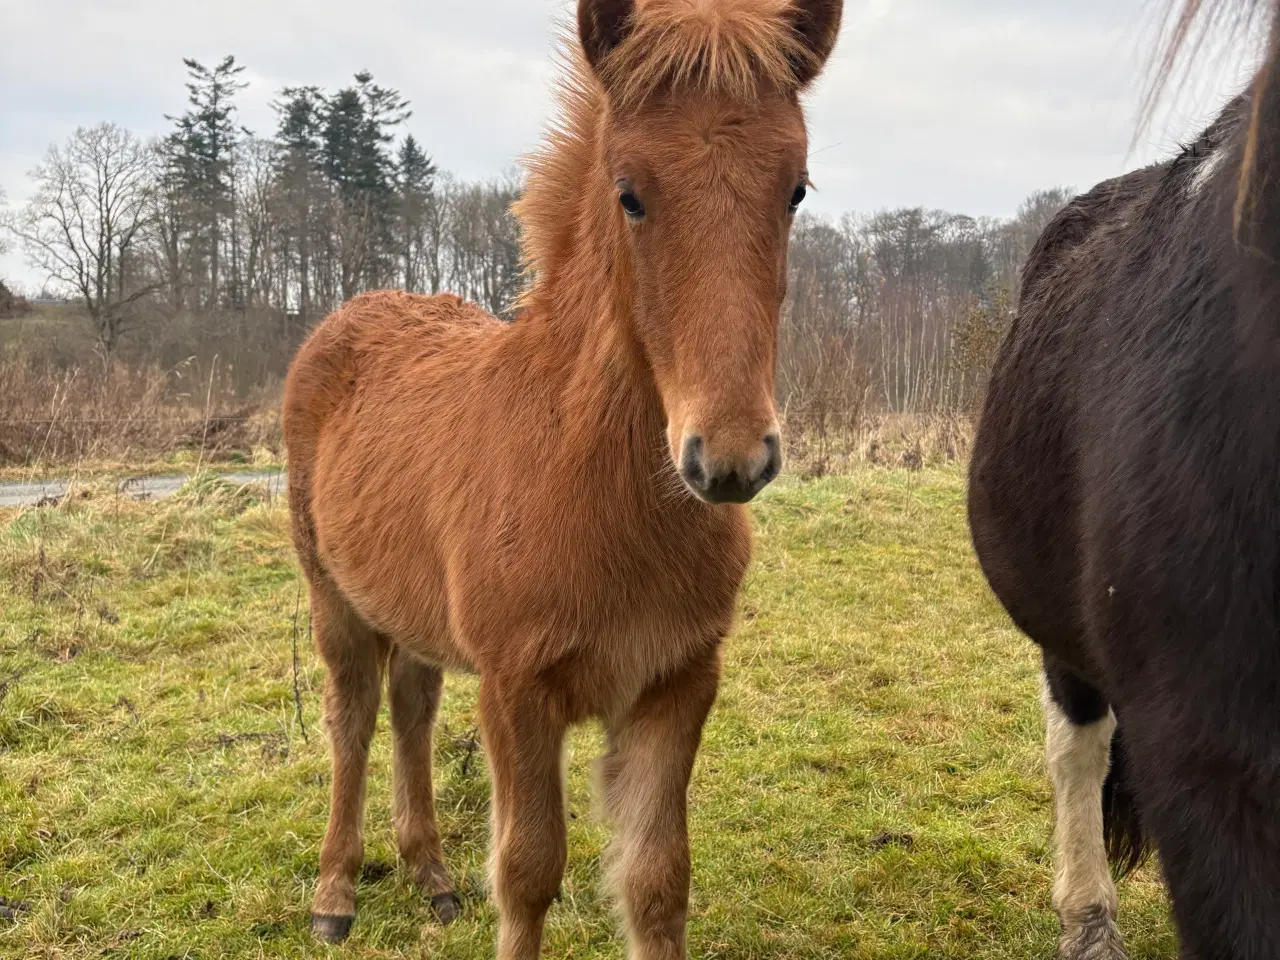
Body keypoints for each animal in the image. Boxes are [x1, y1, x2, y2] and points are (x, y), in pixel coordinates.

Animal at [280, 0, 839, 957]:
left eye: (795, 188)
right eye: (630, 193)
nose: (731, 459)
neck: (592, 487)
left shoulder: (675, 683)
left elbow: (656, 881)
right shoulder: (518, 691)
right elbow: (529, 872)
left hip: (412, 605)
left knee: (413, 702)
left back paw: (431, 876)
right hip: (333, 595)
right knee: (351, 715)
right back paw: (335, 893)